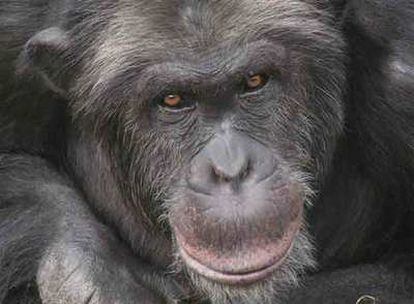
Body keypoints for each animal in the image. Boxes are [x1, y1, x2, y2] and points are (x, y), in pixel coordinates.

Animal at [0, 0, 412, 304]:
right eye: (173, 100)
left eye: (255, 81)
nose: (231, 170)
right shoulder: (11, 36)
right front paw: (95, 268)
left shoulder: (402, 79)